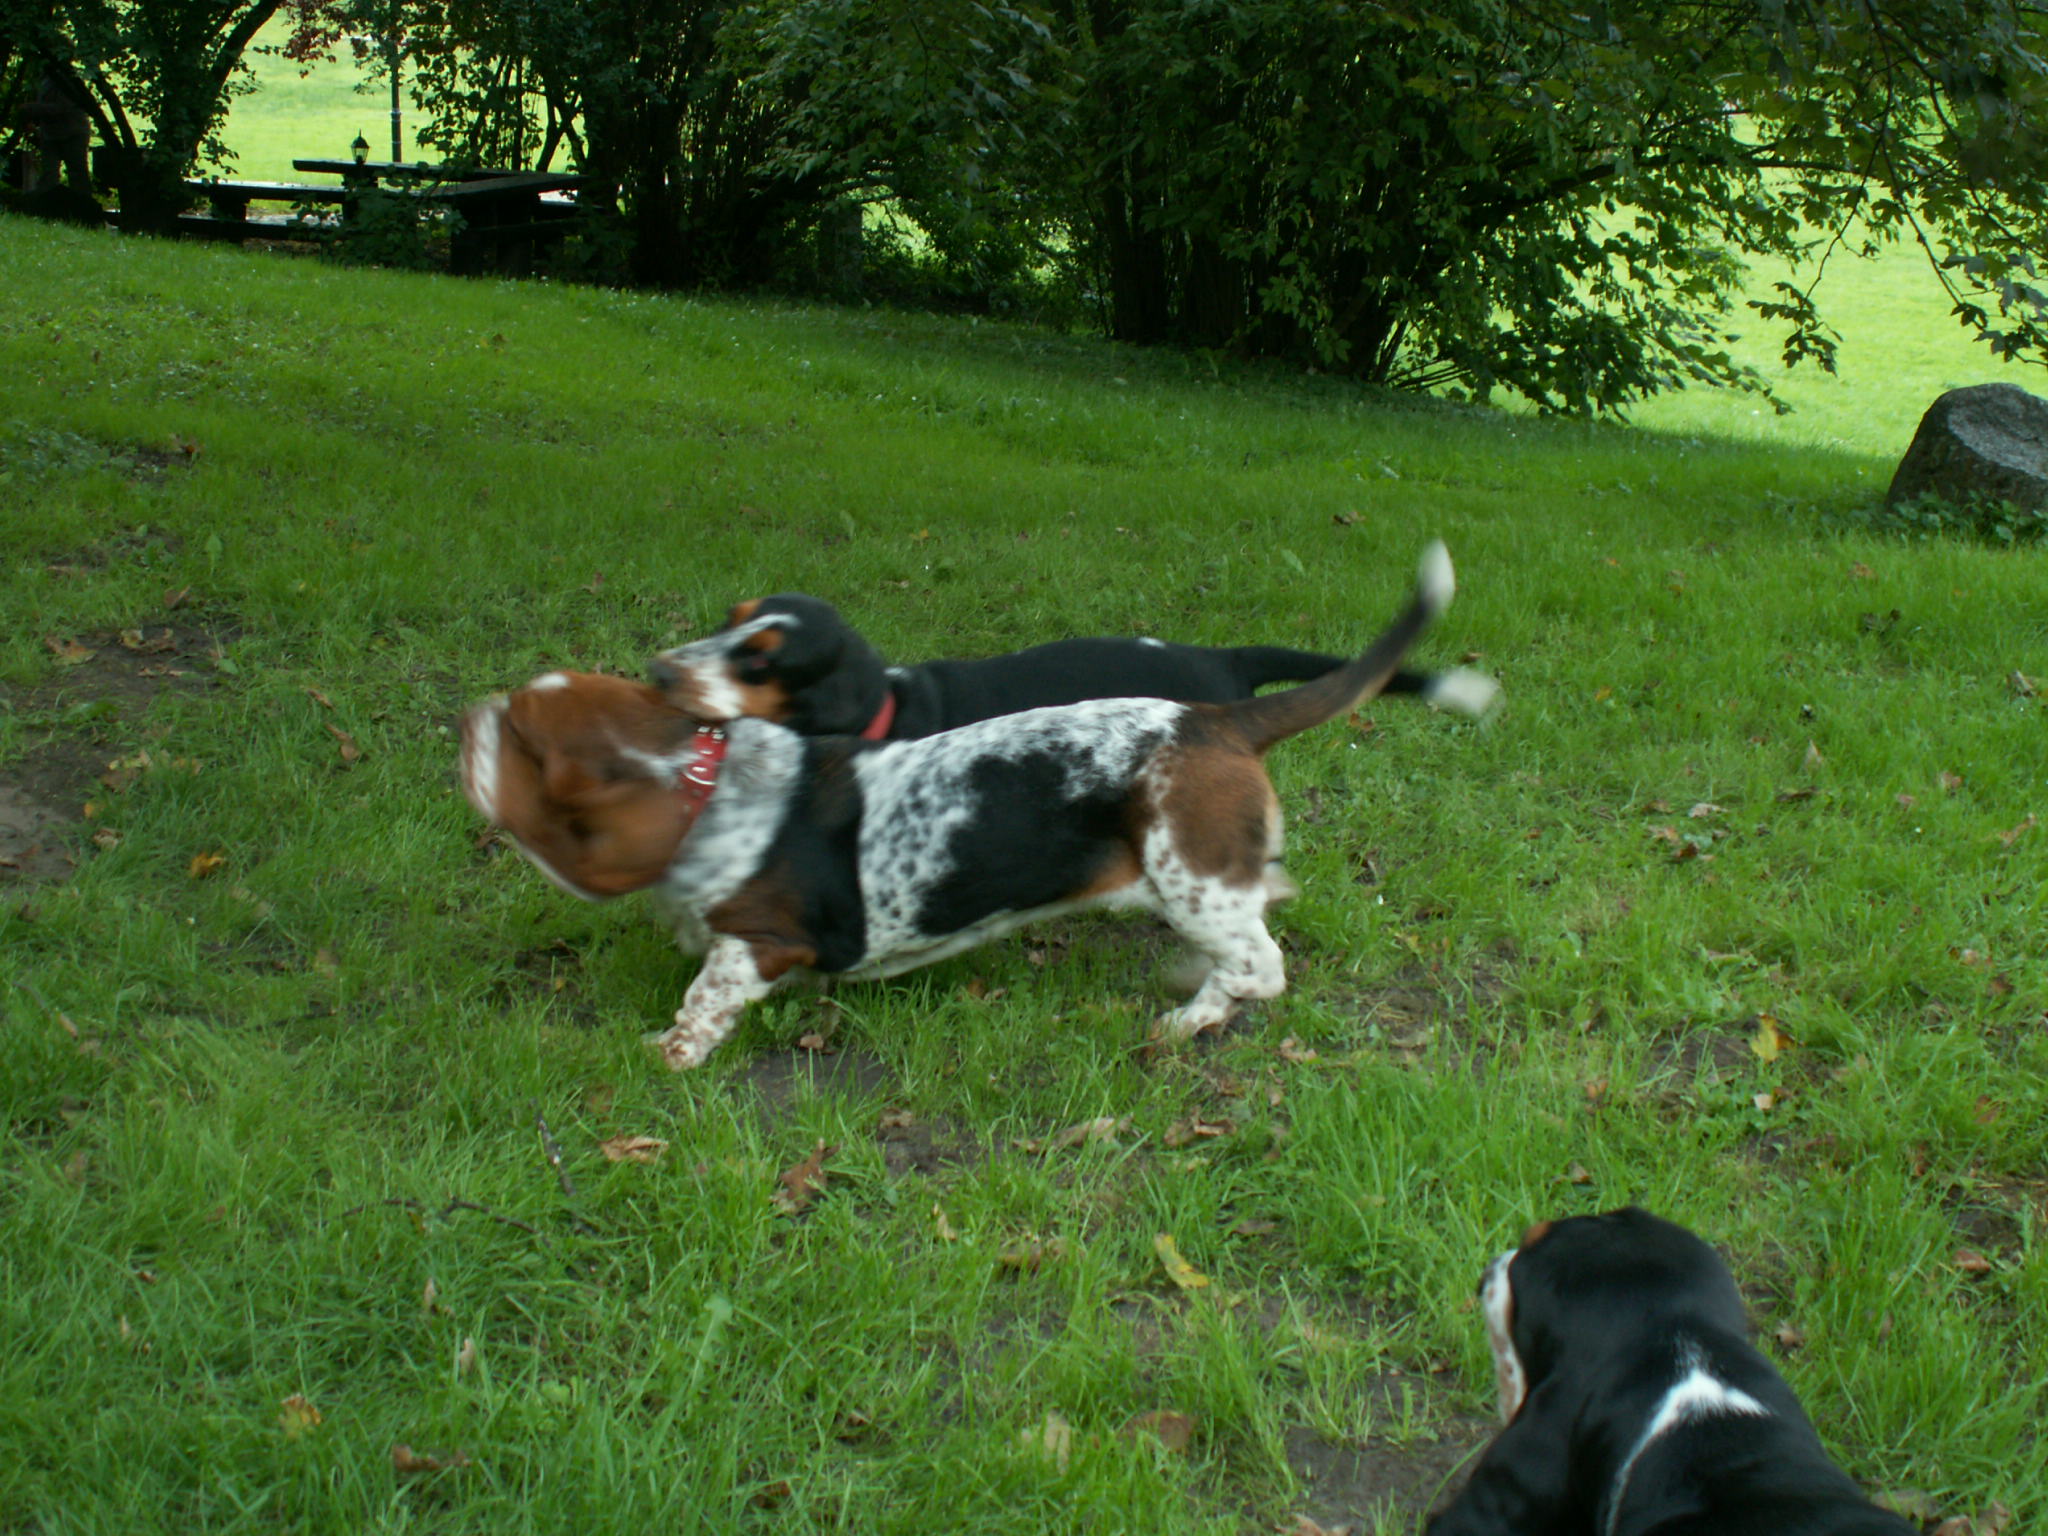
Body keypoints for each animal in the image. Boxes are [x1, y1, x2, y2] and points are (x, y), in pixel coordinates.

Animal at [461, 542, 1460, 1068]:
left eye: (526, 742)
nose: (469, 715)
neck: (703, 785)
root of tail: (1218, 713)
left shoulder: (759, 941)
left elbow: (705, 1000)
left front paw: (665, 1056)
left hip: (1192, 879)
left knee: (1262, 966)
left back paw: (1186, 1016)